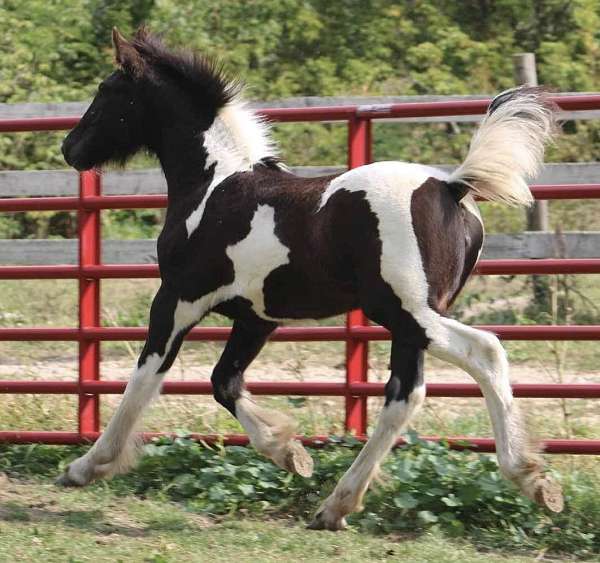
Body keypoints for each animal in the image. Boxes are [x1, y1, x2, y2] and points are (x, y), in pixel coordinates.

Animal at [57, 28, 564, 532]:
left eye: (107, 91)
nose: (70, 148)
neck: (213, 186)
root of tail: (452, 186)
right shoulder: (256, 318)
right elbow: (224, 383)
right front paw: (291, 454)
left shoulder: (177, 299)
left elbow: (143, 379)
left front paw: (86, 467)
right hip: (411, 321)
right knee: (404, 395)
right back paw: (336, 505)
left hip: (406, 311)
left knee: (485, 352)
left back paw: (532, 479)